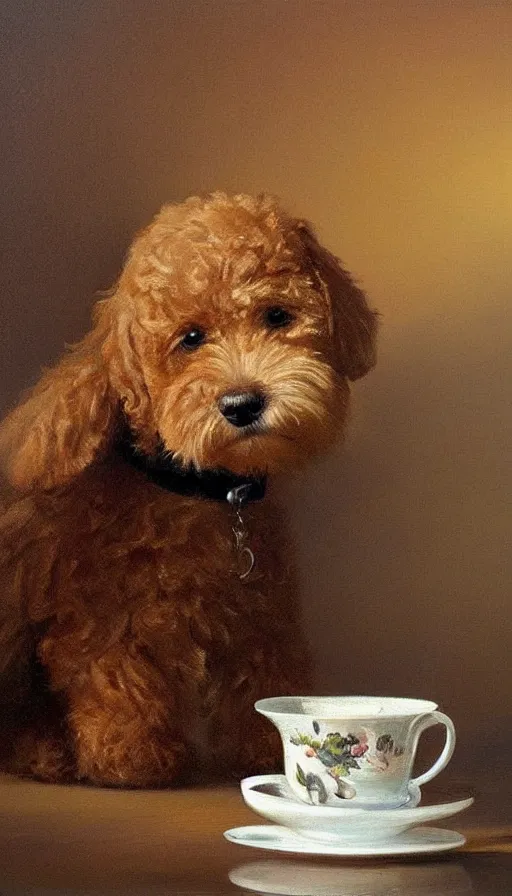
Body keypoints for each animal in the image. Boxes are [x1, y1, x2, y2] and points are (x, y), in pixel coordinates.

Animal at [0, 192, 376, 788]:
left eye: (277, 316)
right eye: (191, 338)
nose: (242, 404)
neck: (200, 493)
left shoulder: (261, 614)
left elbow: (266, 672)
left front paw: (265, 746)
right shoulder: (101, 620)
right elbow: (116, 677)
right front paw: (130, 757)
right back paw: (47, 752)